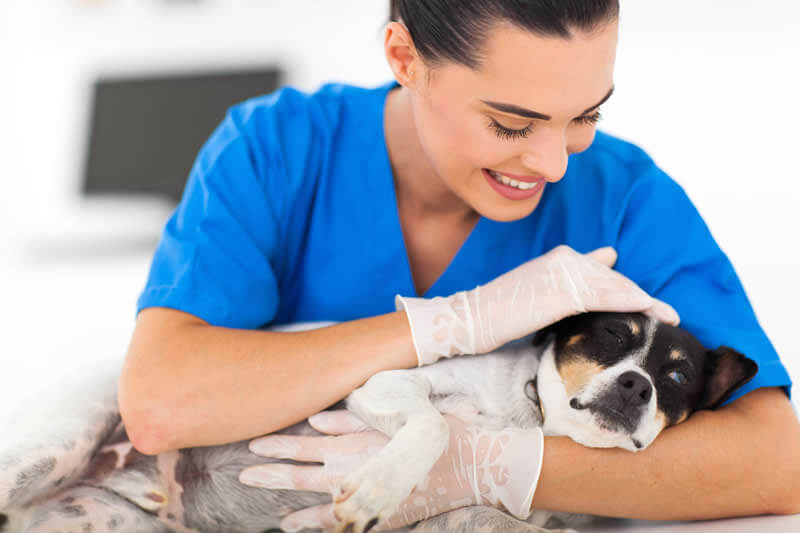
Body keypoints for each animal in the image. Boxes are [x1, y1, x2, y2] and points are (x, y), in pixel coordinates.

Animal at [0, 312, 756, 532]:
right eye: (609, 336)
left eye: (677, 376)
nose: (637, 384)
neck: (528, 418)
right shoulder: (382, 386)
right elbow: (435, 427)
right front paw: (377, 488)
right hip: (50, 450)